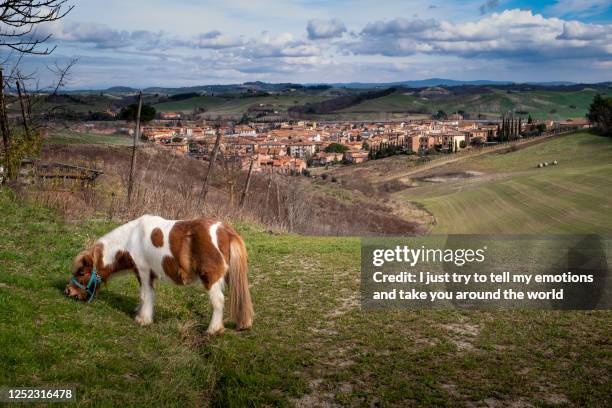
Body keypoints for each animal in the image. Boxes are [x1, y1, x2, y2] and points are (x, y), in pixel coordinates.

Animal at [67, 214, 256, 334]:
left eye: (81, 272)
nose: (68, 291)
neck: (131, 238)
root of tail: (227, 231)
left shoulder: (143, 271)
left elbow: (146, 295)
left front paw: (143, 319)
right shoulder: (148, 274)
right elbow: (146, 295)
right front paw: (140, 312)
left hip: (211, 278)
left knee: (218, 302)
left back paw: (212, 330)